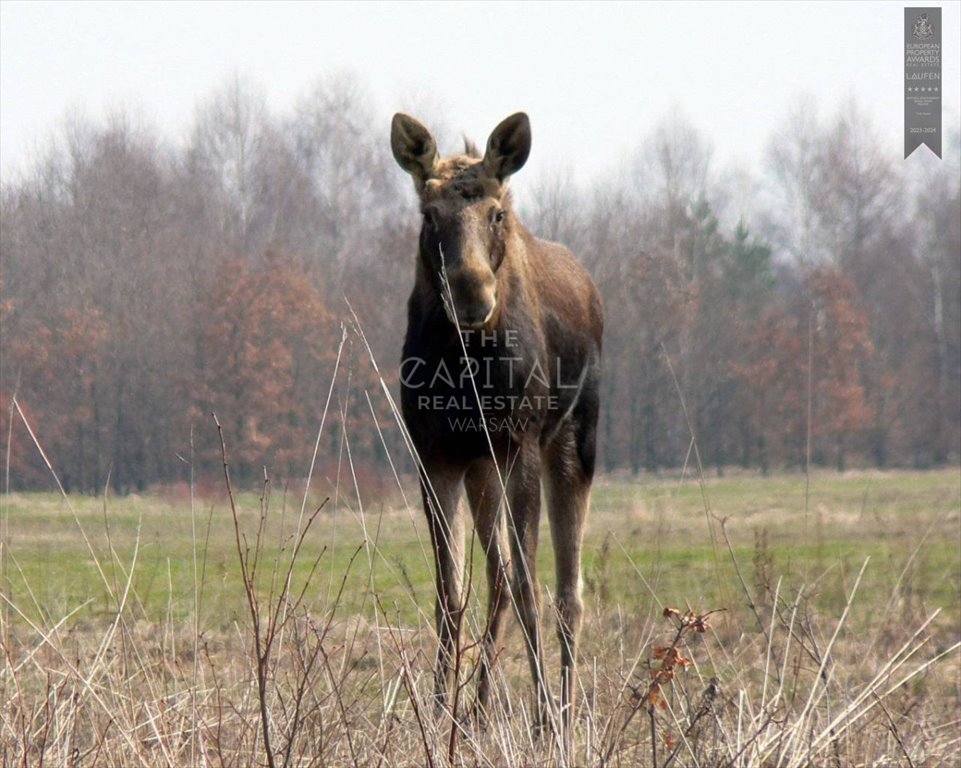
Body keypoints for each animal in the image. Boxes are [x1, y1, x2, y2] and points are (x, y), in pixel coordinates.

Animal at [388, 111, 600, 736]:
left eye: (496, 213)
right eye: (428, 215)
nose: (471, 294)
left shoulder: (518, 444)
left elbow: (533, 586)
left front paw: (545, 715)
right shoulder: (435, 454)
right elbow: (450, 591)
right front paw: (440, 713)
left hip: (573, 443)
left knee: (568, 590)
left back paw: (565, 708)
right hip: (482, 468)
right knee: (498, 575)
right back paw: (479, 709)